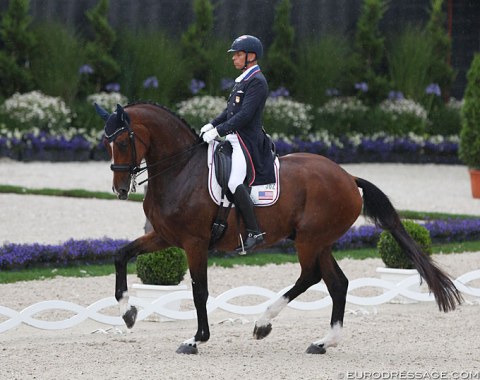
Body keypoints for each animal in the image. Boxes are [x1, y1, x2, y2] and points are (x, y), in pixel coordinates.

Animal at [94, 101, 462, 356]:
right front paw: (128, 313)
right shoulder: (165, 237)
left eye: (123, 142)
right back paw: (323, 342)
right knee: (337, 283)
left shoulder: (194, 242)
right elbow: (120, 255)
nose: (119, 189)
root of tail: (347, 176)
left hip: (309, 240)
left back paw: (263, 322)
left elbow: (199, 291)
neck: (180, 169)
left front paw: (196, 340)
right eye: (106, 143)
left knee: (310, 277)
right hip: (319, 241)